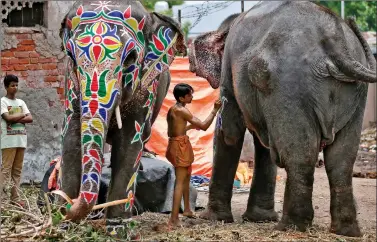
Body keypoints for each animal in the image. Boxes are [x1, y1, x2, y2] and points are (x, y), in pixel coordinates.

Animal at [57, 0, 185, 236]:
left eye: (131, 58)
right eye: (70, 55)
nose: (68, 207)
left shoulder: (146, 88)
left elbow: (129, 140)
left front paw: (118, 230)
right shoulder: (70, 84)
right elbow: (70, 136)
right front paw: (61, 225)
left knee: (144, 135)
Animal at [189, 0, 374, 237]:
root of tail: (334, 39)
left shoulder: (229, 73)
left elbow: (230, 132)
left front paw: (213, 218)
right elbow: (263, 143)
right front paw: (258, 219)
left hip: (290, 86)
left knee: (300, 155)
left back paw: (291, 226)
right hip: (356, 92)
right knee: (341, 159)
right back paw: (346, 231)